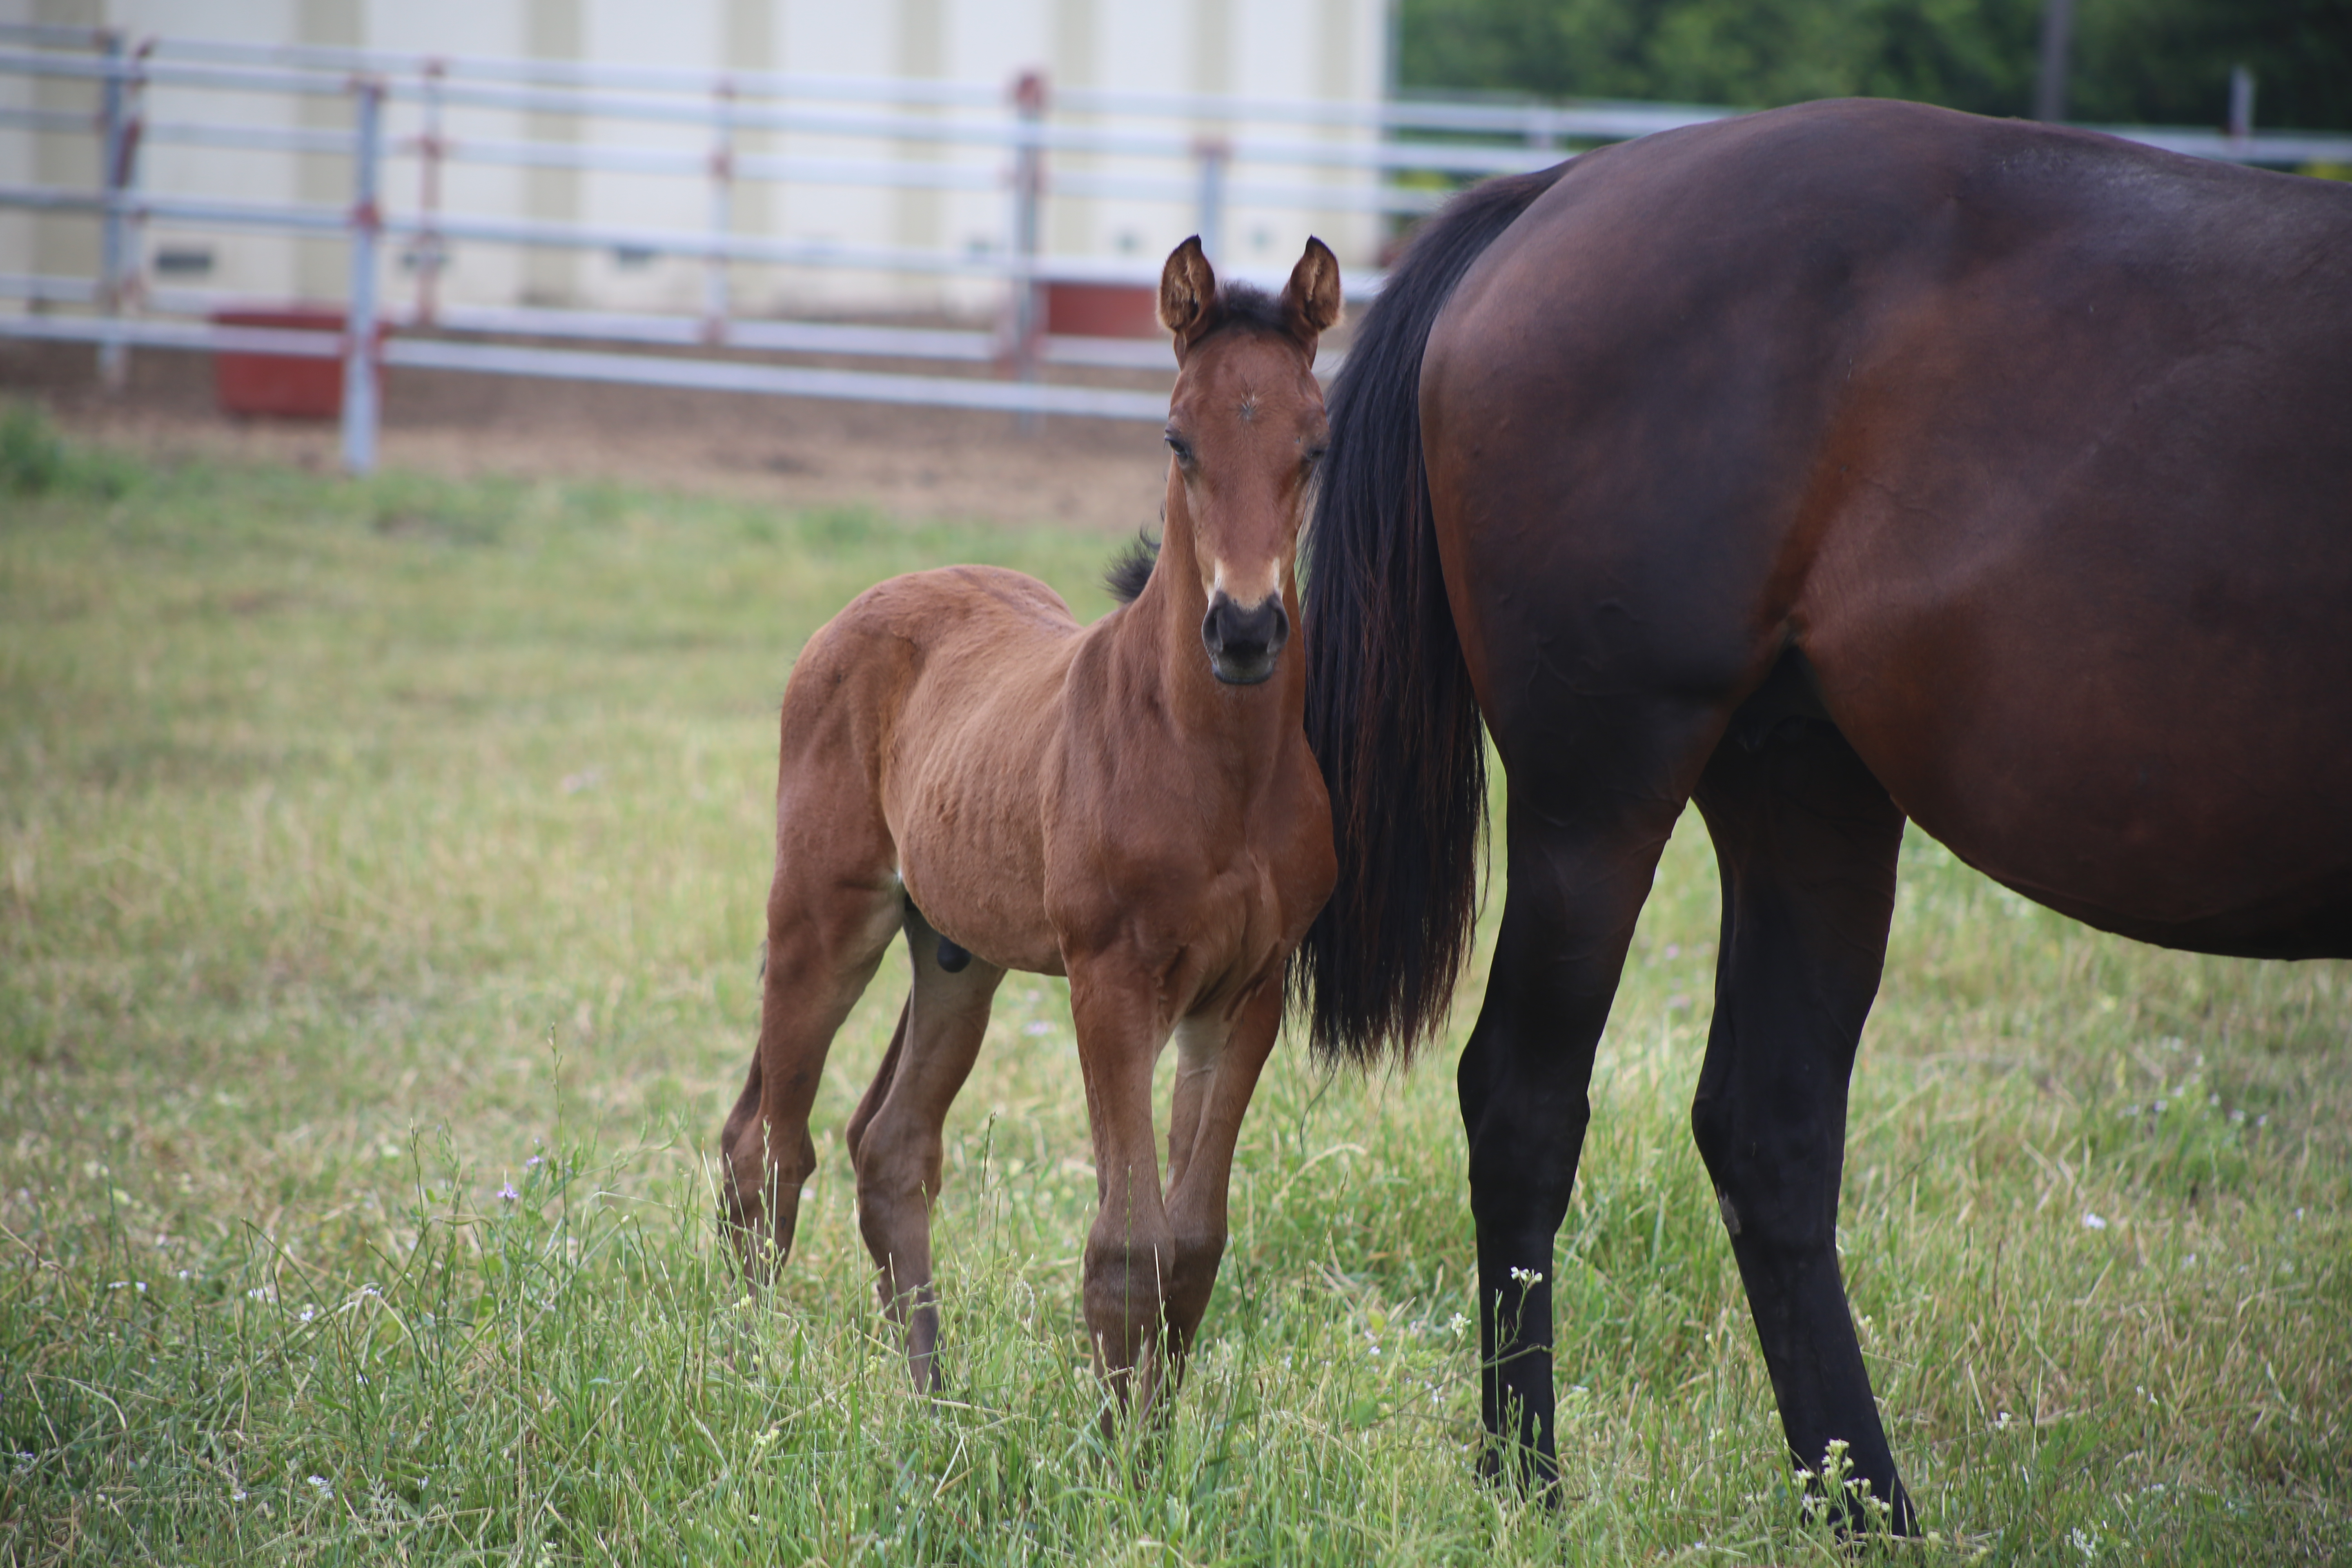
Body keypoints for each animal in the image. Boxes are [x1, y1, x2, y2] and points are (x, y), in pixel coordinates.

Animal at [715, 240, 1345, 1420]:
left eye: (1315, 445)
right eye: (1177, 438)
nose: (1243, 631)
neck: (1220, 767)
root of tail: (867, 604)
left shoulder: (1245, 992)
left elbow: (1193, 1242)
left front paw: (1160, 1442)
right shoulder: (1113, 980)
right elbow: (1125, 1245)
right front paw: (1115, 1455)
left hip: (955, 953)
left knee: (890, 1146)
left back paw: (935, 1405)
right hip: (825, 918)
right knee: (767, 1147)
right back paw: (746, 1368)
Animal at [1298, 95, 2342, 1523]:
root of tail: (1564, 189)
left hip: (1807, 790)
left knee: (1769, 1131)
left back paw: (1861, 1508)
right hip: (1600, 794)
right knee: (1524, 1102)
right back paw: (1529, 1485)